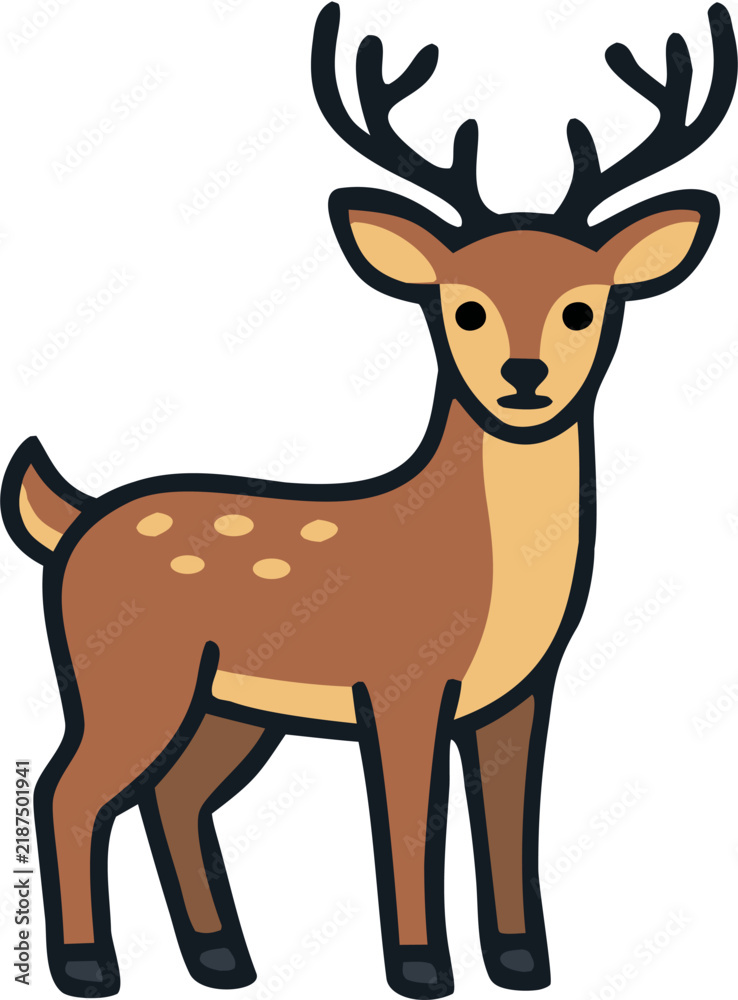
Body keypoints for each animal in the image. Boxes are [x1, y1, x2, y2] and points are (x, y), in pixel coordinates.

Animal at [2, 3, 736, 997]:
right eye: (462, 307)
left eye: (585, 306)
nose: (525, 379)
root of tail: (71, 521)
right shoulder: (399, 683)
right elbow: (409, 823)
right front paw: (421, 967)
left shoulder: (521, 692)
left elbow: (511, 824)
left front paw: (521, 961)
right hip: (126, 672)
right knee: (69, 788)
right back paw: (88, 964)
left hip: (229, 705)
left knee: (174, 794)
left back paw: (224, 957)